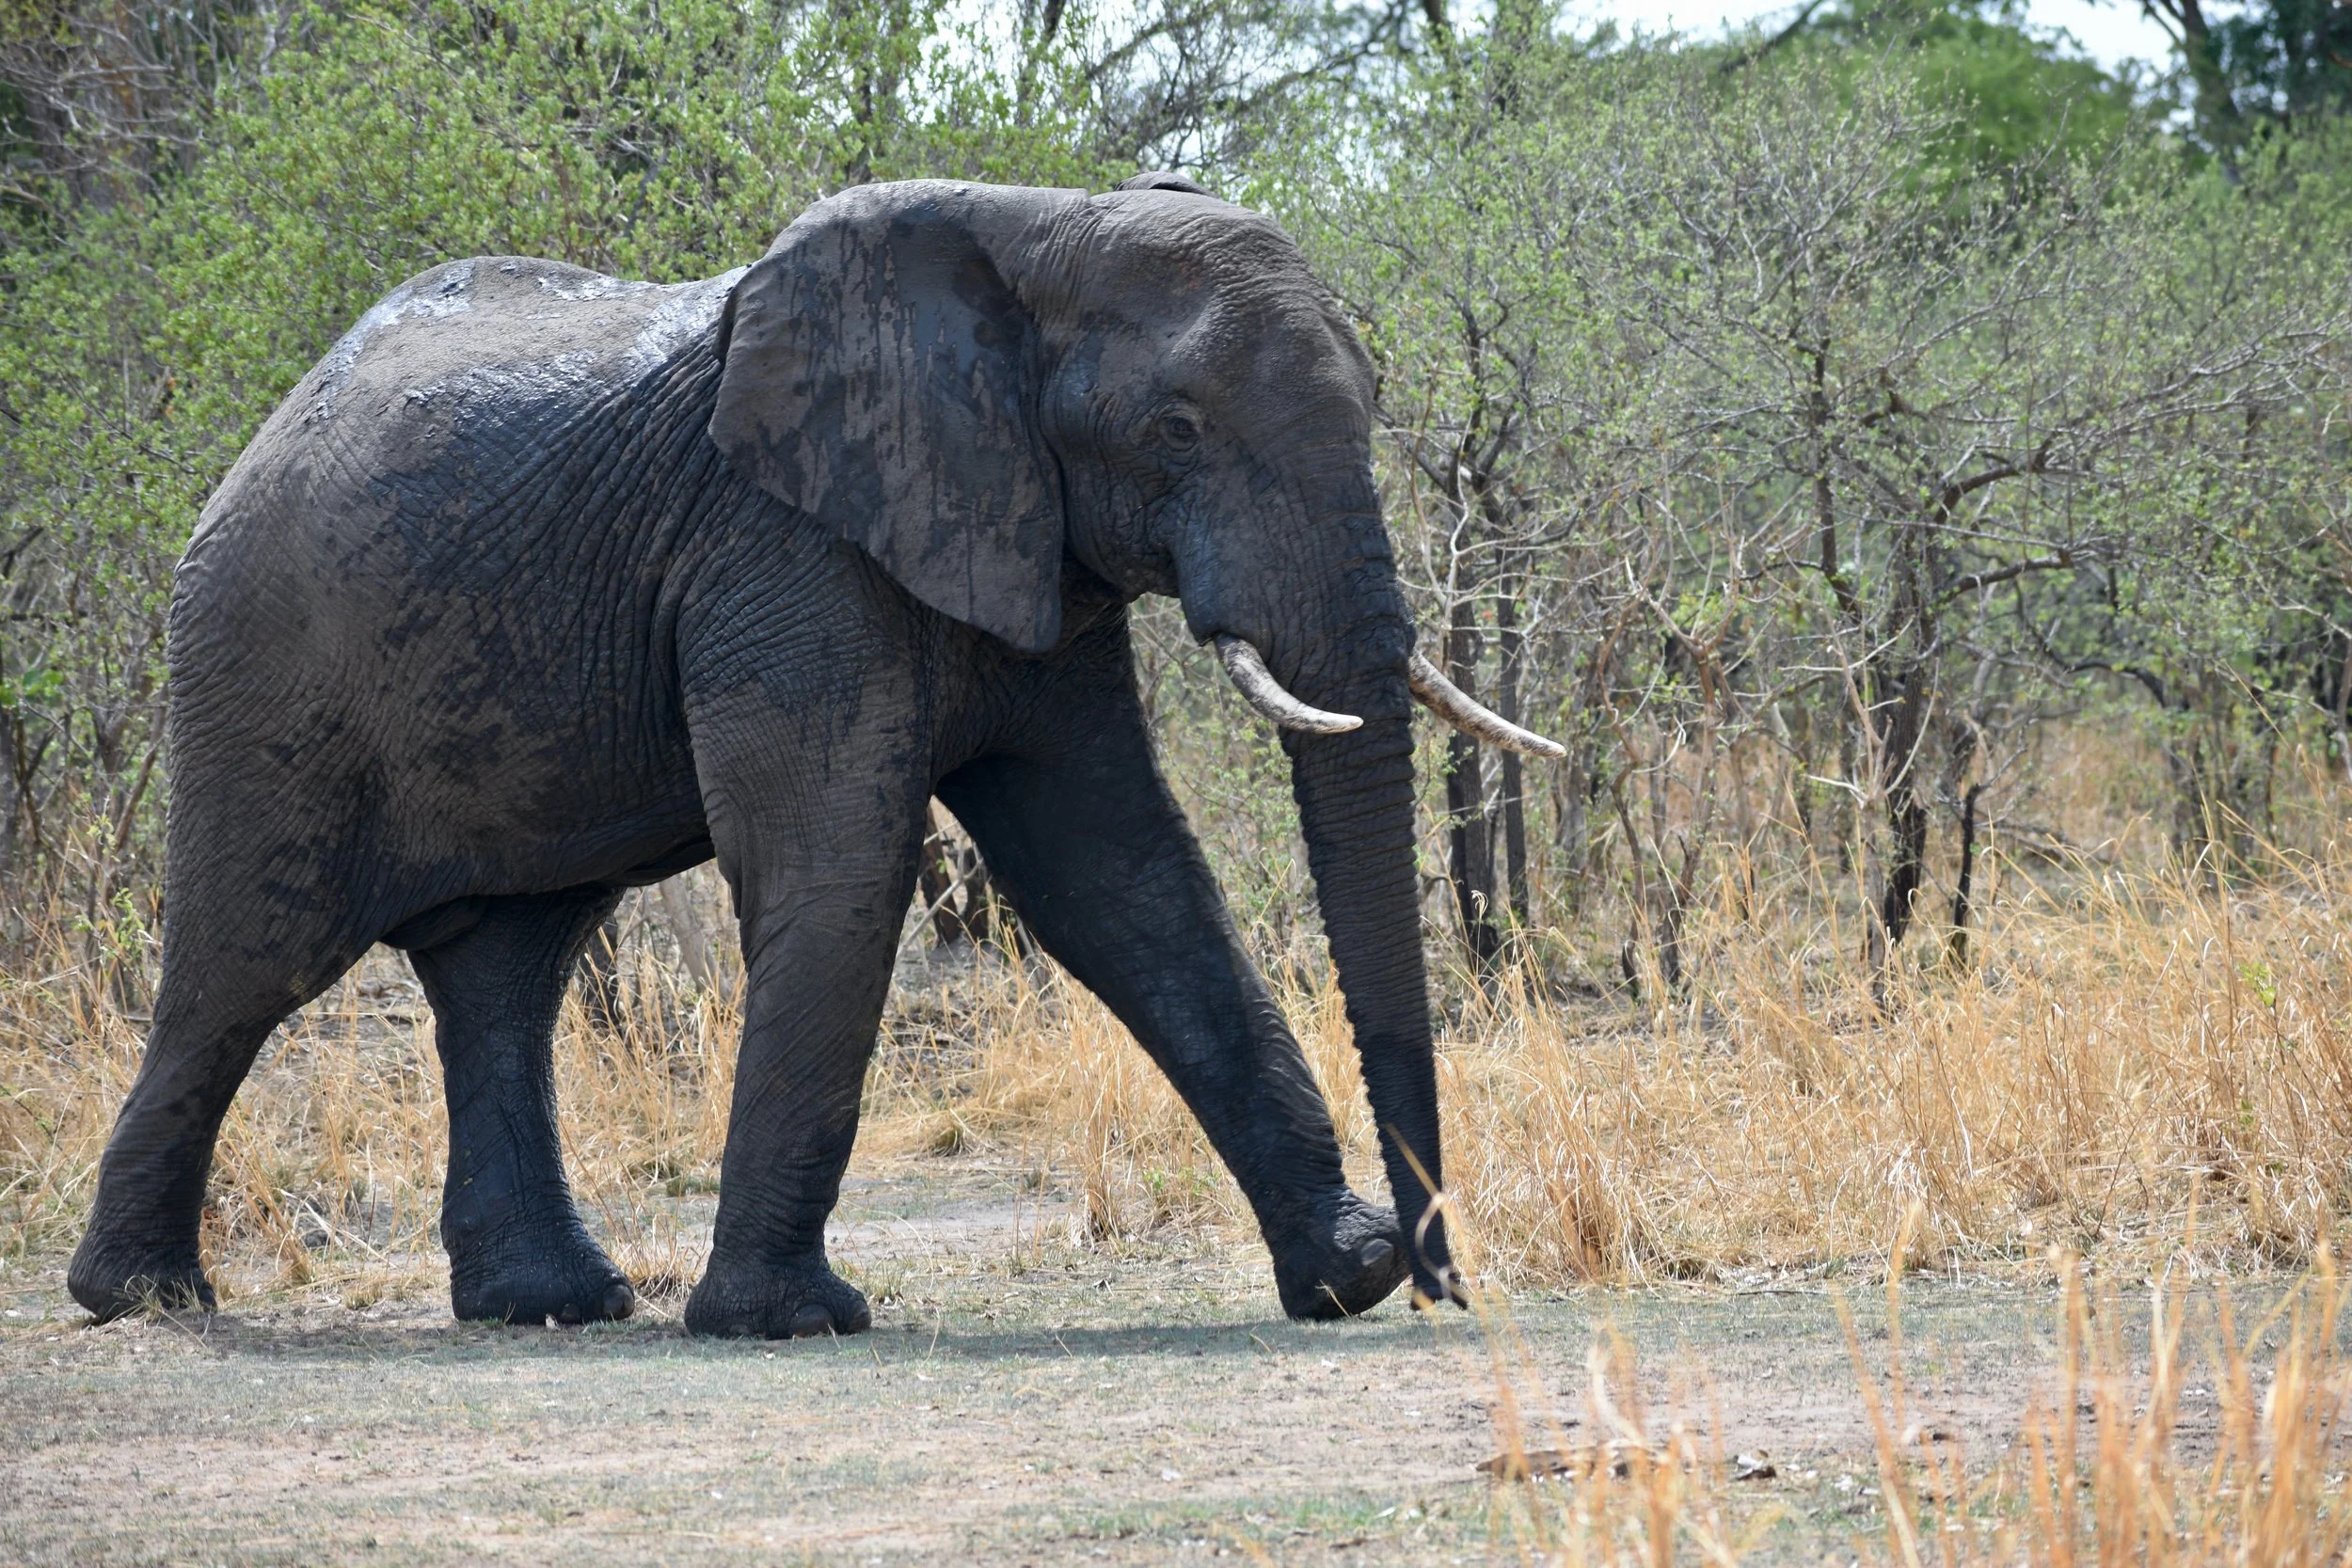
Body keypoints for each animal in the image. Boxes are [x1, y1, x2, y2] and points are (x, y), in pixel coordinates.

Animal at [67, 172, 1559, 1338]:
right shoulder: (788, 546)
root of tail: (264, 429)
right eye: (1176, 429)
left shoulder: (1026, 545)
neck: (1040, 226)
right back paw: (142, 1297)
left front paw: (1345, 1276)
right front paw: (786, 1320)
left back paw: (551, 1303)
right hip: (265, 669)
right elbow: (842, 859)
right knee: (246, 966)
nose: (1446, 1283)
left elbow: (1121, 874)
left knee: (510, 968)